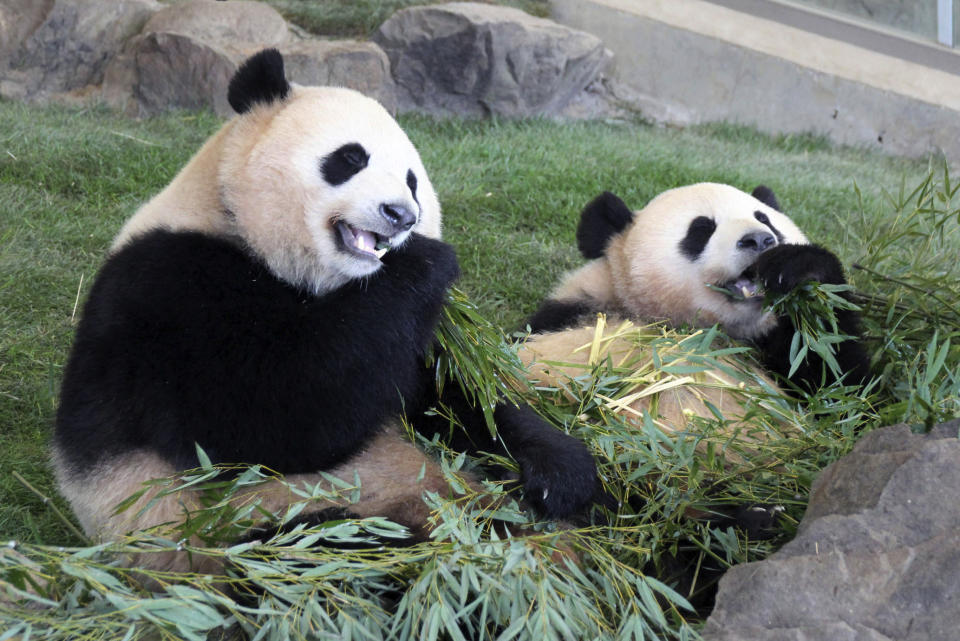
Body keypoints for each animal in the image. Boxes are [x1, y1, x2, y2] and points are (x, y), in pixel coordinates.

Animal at [54, 47, 600, 572]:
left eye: (412, 181)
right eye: (350, 158)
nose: (401, 216)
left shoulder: (402, 334)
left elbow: (452, 395)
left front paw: (562, 472)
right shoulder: (170, 291)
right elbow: (271, 418)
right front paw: (427, 259)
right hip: (225, 530)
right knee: (323, 555)